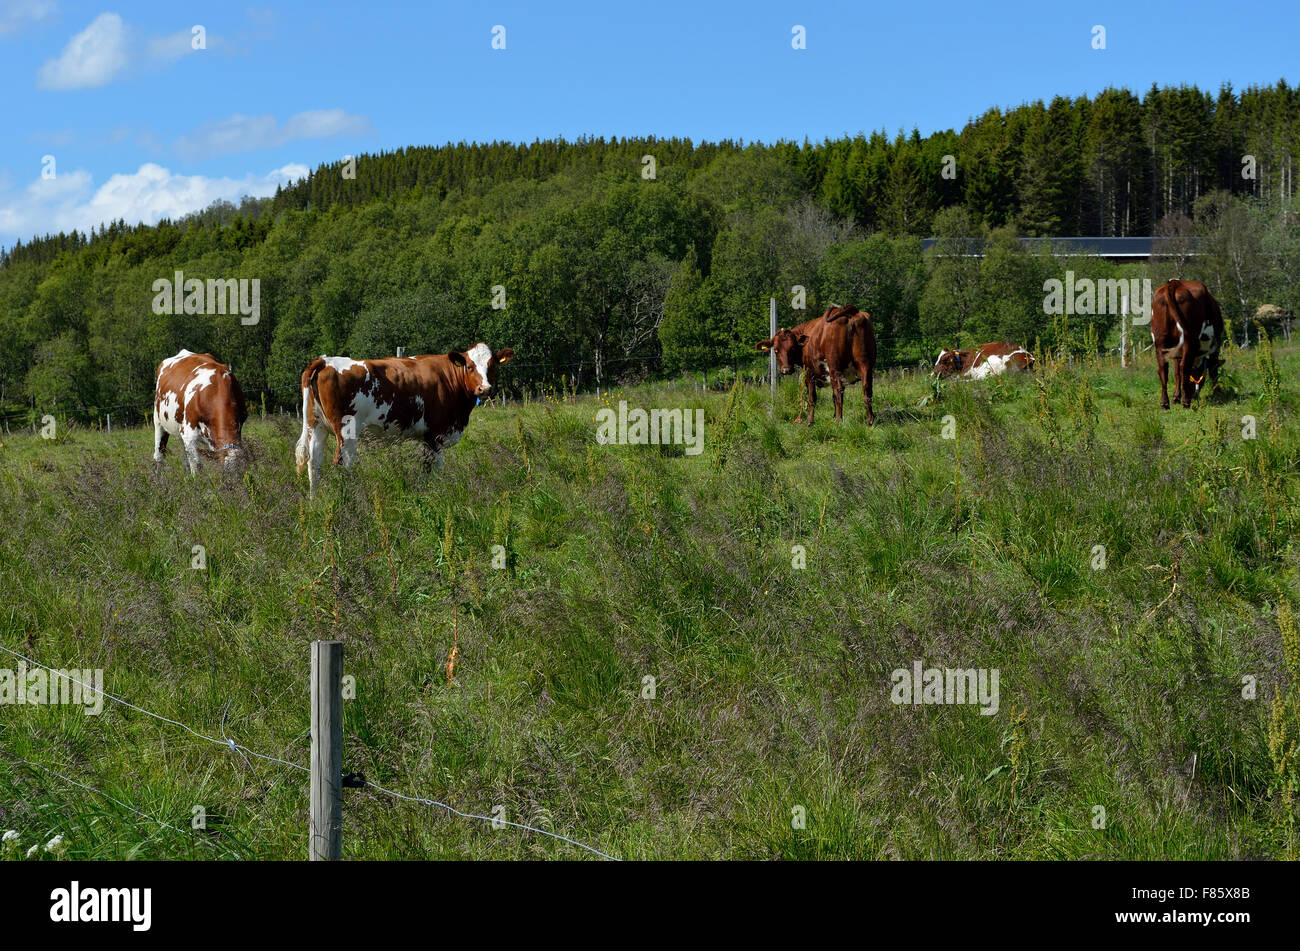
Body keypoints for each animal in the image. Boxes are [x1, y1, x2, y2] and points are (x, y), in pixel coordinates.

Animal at [294, 343, 514, 491]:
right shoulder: (436, 435)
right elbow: (433, 467)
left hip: (316, 426)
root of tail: (326, 360)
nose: (485, 389)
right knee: (344, 463)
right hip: (347, 431)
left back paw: (315, 502)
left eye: (492, 366)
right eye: (470, 366)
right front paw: (434, 492)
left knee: (314, 464)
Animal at [1150, 279, 1224, 409]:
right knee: (1184, 367)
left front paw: (1176, 396)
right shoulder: (1216, 345)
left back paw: (1165, 402)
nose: (1194, 394)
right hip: (1188, 339)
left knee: (1163, 369)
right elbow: (1213, 369)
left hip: (1160, 341)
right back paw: (1185, 401)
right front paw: (1217, 393)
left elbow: (1176, 373)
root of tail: (1174, 283)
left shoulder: (1176, 352)